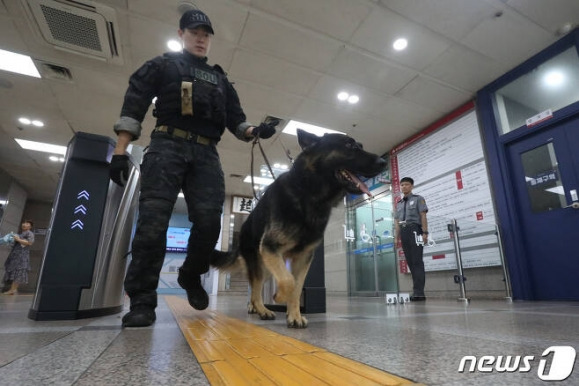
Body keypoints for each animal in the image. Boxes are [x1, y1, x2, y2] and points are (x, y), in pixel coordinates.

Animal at [212, 130, 386, 328]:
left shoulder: (303, 258)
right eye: (349, 145)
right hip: (260, 263)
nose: (383, 162)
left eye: (360, 145)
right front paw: (279, 297)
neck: (309, 194)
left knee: (258, 288)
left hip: (267, 265)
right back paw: (261, 309)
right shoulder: (271, 247)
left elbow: (296, 286)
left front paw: (294, 315)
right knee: (256, 289)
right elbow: (288, 281)